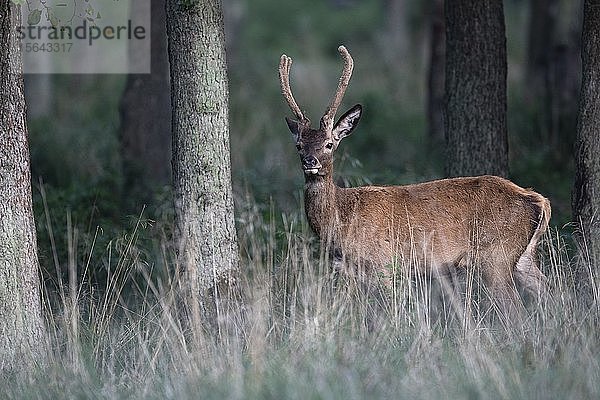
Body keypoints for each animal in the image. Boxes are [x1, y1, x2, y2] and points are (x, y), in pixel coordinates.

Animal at [278, 46, 552, 324]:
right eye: (299, 145)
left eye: (329, 144)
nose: (310, 162)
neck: (342, 220)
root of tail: (540, 200)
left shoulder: (384, 265)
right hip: (523, 257)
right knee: (551, 292)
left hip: (495, 257)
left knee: (517, 311)